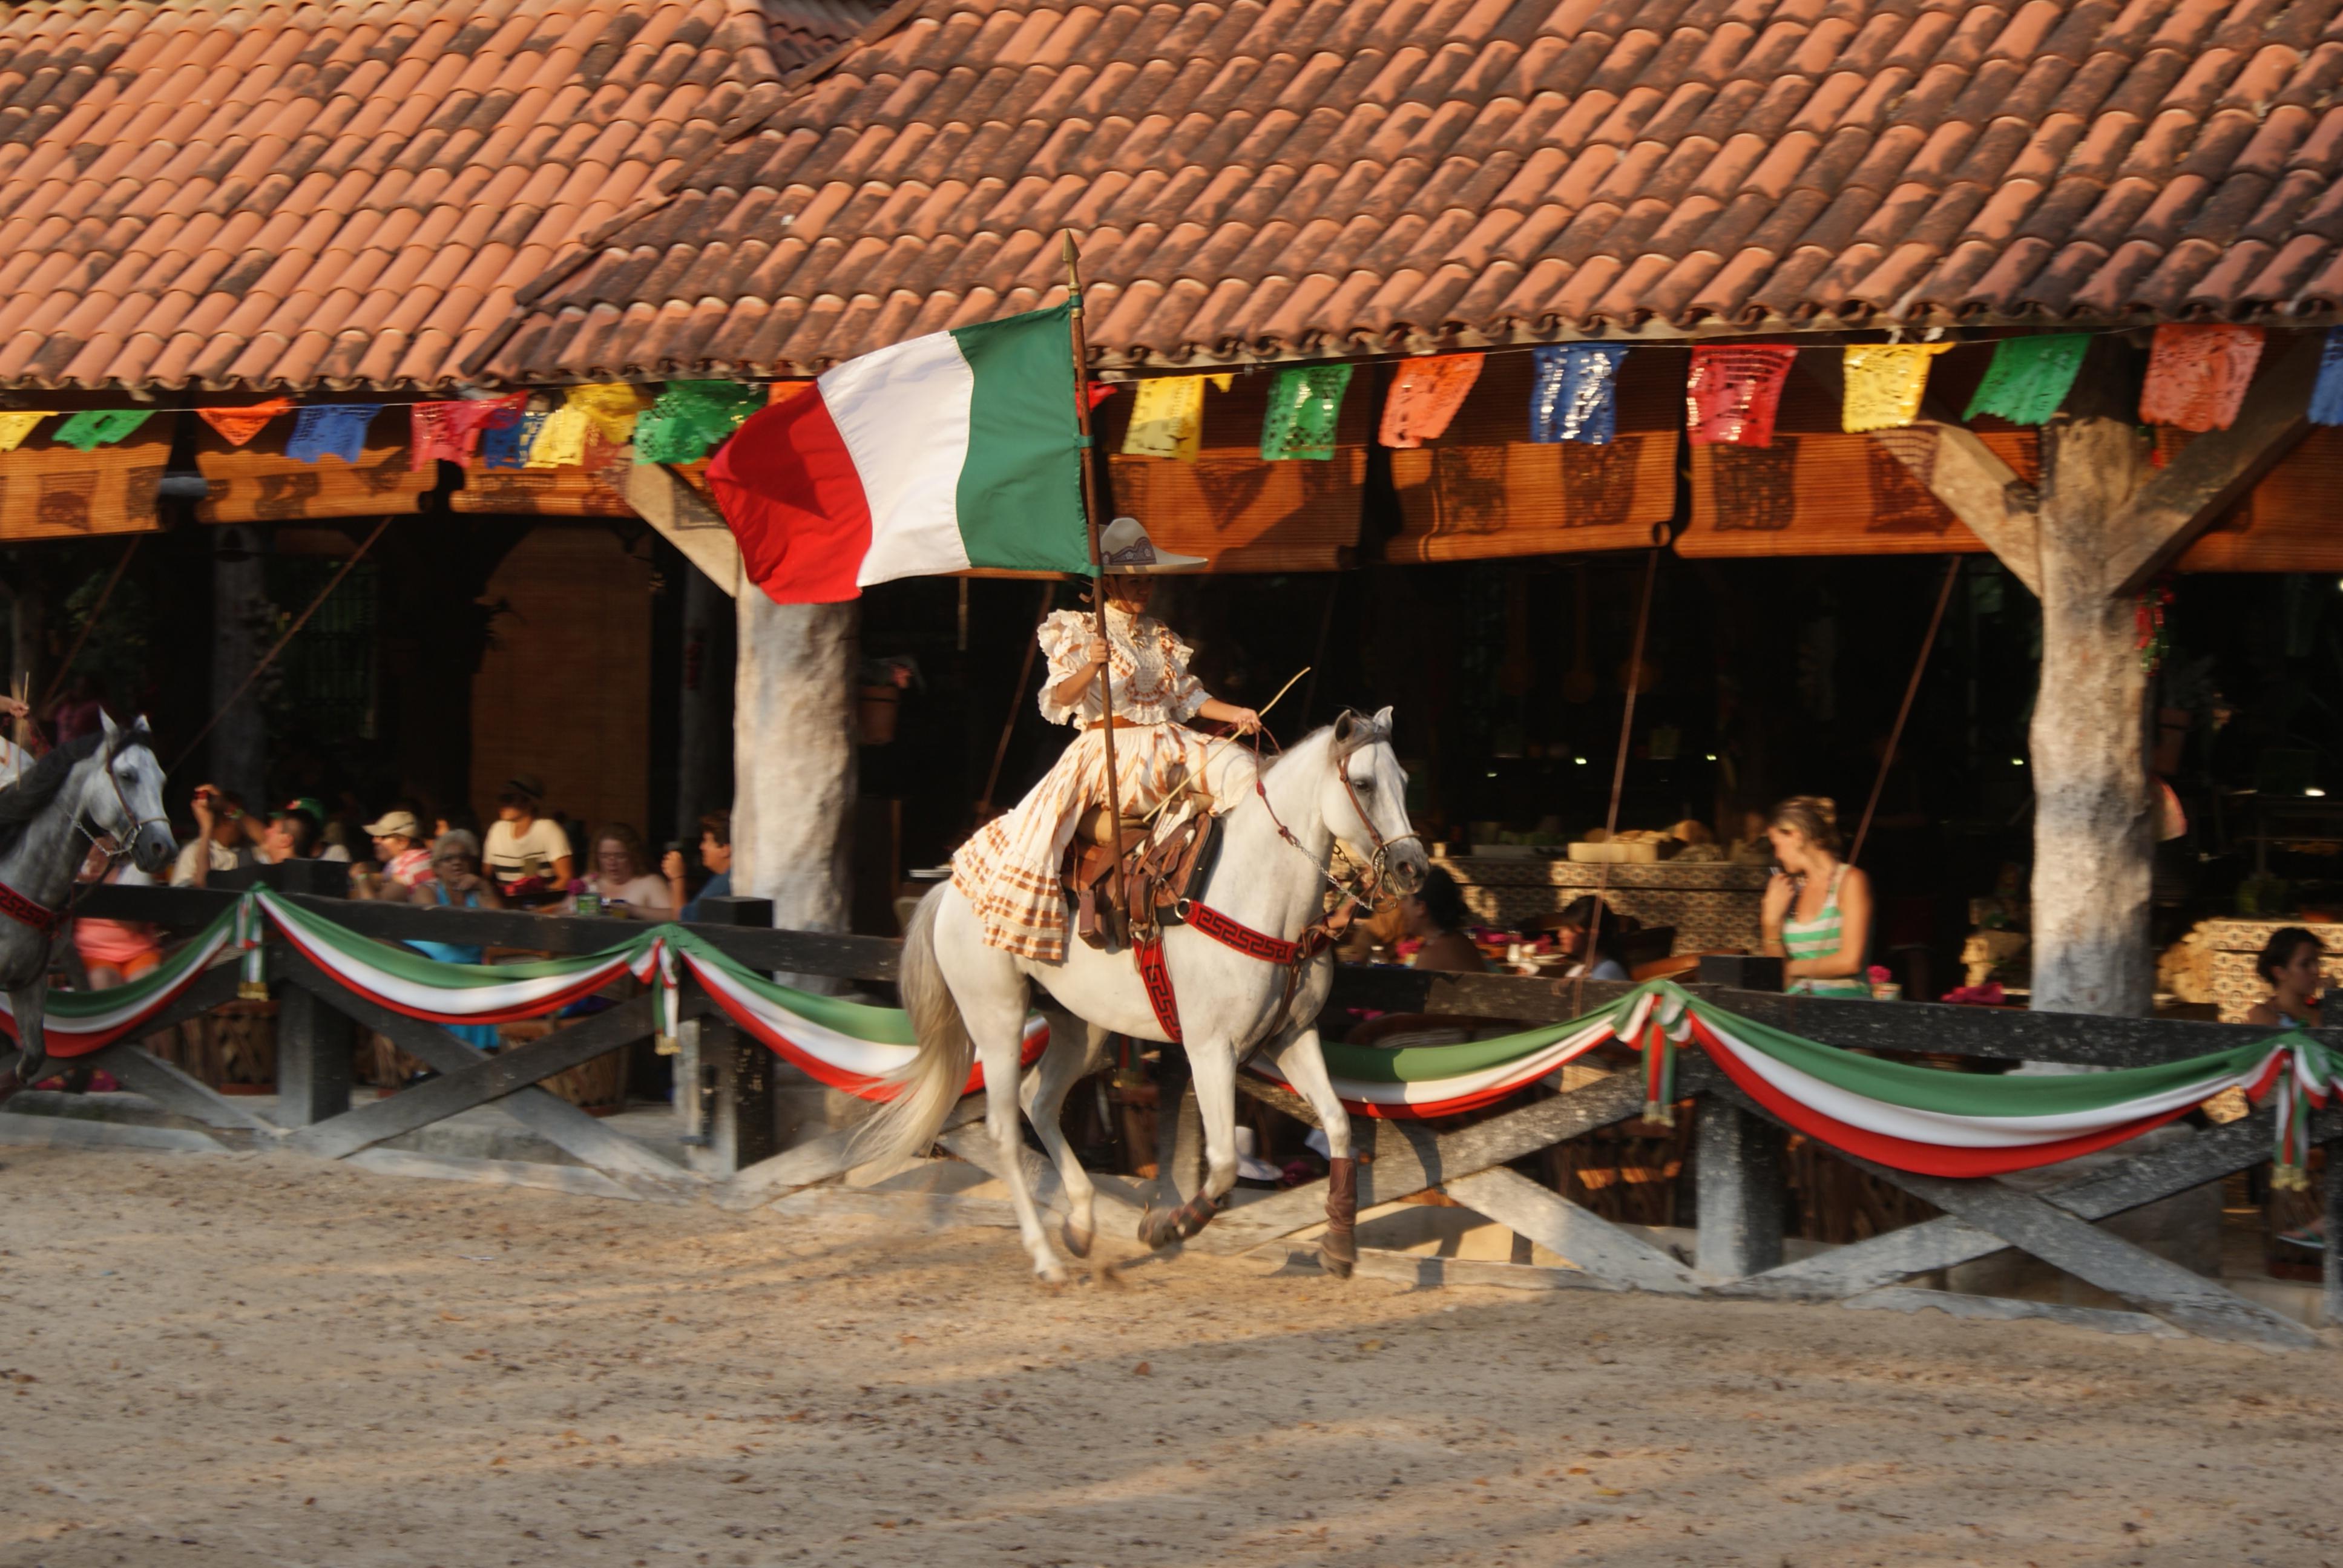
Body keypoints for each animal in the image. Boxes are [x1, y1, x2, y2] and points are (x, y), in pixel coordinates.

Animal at [859, 707, 1429, 1284]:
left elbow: (1337, 1125)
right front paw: (1167, 1227)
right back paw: (1046, 1257)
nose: (1413, 868)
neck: (1260, 901)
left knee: (1038, 1099)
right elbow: (1224, 1161)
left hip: (1079, 1026)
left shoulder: (1291, 1035)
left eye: (1406, 781)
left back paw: (1080, 1224)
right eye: (1363, 783)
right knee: (1003, 1126)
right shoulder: (1210, 1049)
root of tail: (948, 890)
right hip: (996, 1019)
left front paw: (1338, 1246)